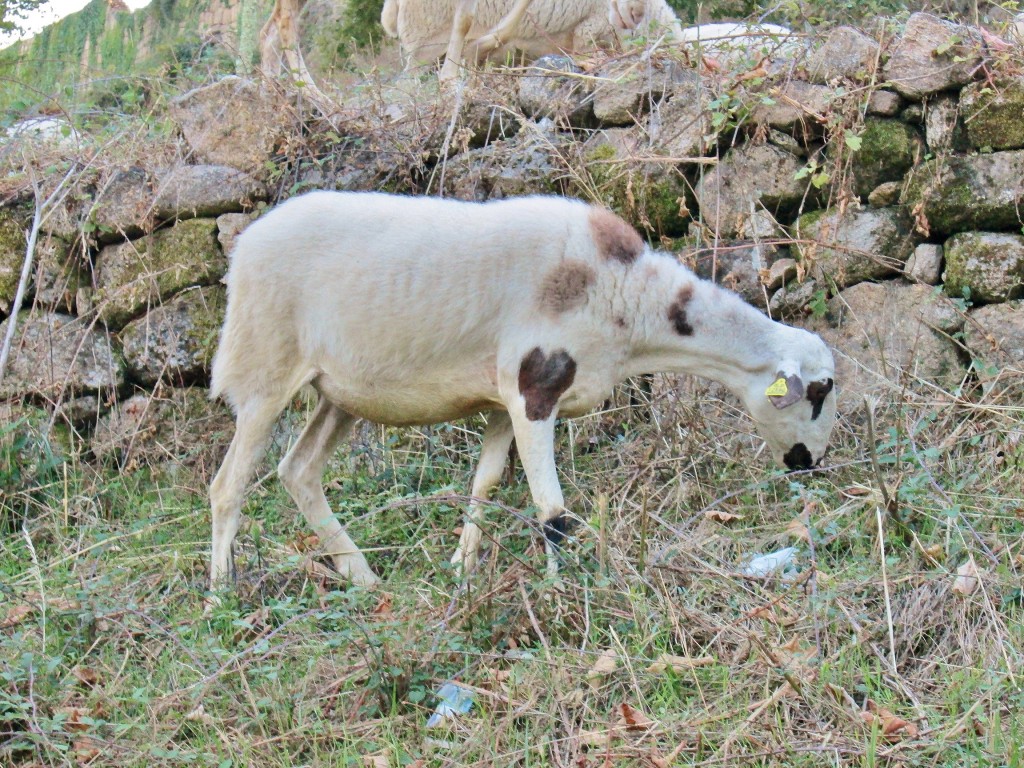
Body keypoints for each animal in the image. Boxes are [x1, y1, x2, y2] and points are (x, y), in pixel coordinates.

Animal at [205, 191, 831, 589]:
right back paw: (221, 595)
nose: (809, 466)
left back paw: (363, 576)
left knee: (298, 472)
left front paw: (461, 570)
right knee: (227, 486)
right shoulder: (536, 390)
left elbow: (483, 487)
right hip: (264, 372)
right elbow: (551, 510)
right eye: (820, 392)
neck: (631, 300)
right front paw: (565, 590)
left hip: (338, 393)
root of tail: (246, 243)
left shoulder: (504, 401)